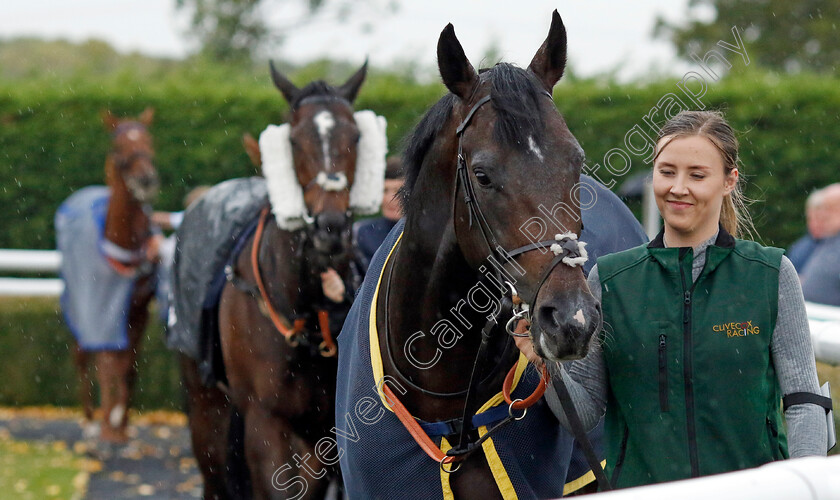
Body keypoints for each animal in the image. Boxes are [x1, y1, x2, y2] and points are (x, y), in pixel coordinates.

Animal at [58, 108, 160, 442]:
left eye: (149, 140)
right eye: (118, 147)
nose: (145, 179)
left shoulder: (138, 309)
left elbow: (128, 365)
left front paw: (121, 423)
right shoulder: (99, 304)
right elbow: (105, 361)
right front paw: (105, 424)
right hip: (76, 300)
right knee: (81, 354)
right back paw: (90, 418)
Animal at [182, 62, 376, 500]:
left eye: (356, 135)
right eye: (293, 139)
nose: (330, 228)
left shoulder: (327, 427)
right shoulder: (265, 418)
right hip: (204, 399)